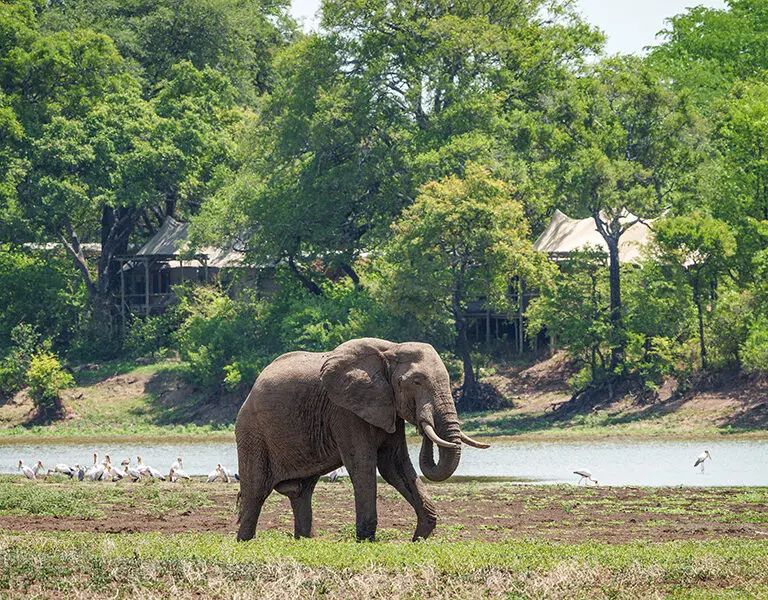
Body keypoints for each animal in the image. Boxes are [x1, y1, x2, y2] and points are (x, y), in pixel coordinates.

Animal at [235, 337, 489, 542]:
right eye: (416, 382)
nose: (422, 423)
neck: (391, 349)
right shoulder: (345, 410)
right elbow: (363, 464)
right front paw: (366, 541)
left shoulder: (386, 408)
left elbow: (394, 465)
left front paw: (420, 536)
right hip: (251, 431)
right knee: (256, 492)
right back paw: (245, 542)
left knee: (301, 492)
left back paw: (304, 541)